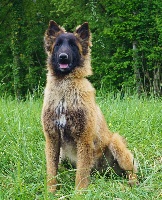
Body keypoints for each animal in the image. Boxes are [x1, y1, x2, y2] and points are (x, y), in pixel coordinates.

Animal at [41, 20, 138, 192]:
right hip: (63, 156)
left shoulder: (84, 139)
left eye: (73, 45)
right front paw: (50, 193)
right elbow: (52, 172)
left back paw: (132, 184)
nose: (63, 57)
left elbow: (81, 174)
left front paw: (79, 193)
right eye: (58, 45)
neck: (64, 92)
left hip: (116, 142)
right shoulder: (52, 139)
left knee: (132, 172)